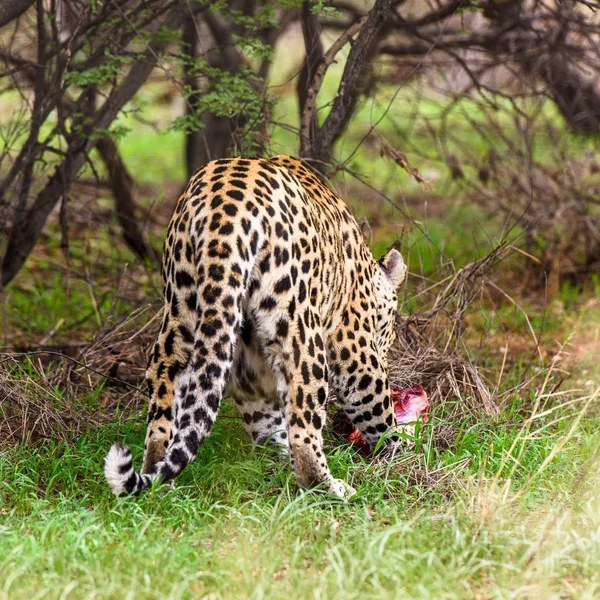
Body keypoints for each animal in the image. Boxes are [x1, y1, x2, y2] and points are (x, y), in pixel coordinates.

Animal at [106, 154, 408, 496]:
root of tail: (223, 209)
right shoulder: (354, 351)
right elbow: (377, 409)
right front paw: (401, 454)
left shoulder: (250, 367)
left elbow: (266, 423)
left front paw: (277, 463)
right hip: (299, 328)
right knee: (304, 421)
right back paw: (328, 487)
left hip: (181, 314)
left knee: (163, 403)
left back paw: (159, 485)